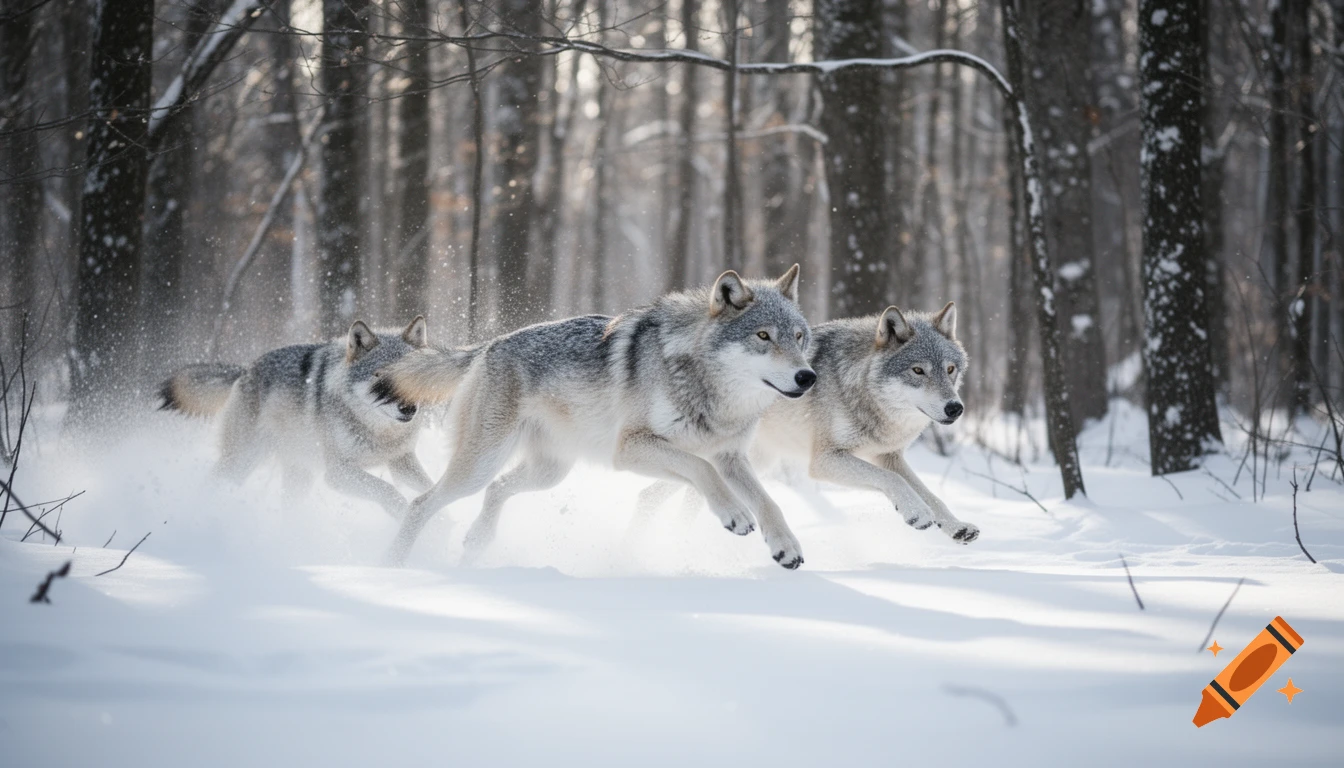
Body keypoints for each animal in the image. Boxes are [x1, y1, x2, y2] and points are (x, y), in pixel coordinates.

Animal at [158, 317, 436, 520]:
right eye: (381, 376)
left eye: (412, 375)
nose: (409, 409)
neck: (379, 432)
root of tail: (247, 369)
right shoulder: (337, 473)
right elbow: (387, 490)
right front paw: (404, 514)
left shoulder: (401, 460)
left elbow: (428, 487)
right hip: (240, 462)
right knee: (210, 484)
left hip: (298, 477)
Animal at [371, 266, 817, 568]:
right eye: (763, 336)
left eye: (798, 337)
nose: (808, 377)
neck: (710, 393)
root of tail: (487, 345)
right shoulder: (631, 450)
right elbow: (701, 470)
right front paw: (734, 514)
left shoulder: (732, 458)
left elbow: (769, 500)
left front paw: (786, 546)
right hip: (480, 466)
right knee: (421, 504)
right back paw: (392, 564)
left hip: (549, 473)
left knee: (497, 489)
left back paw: (478, 542)